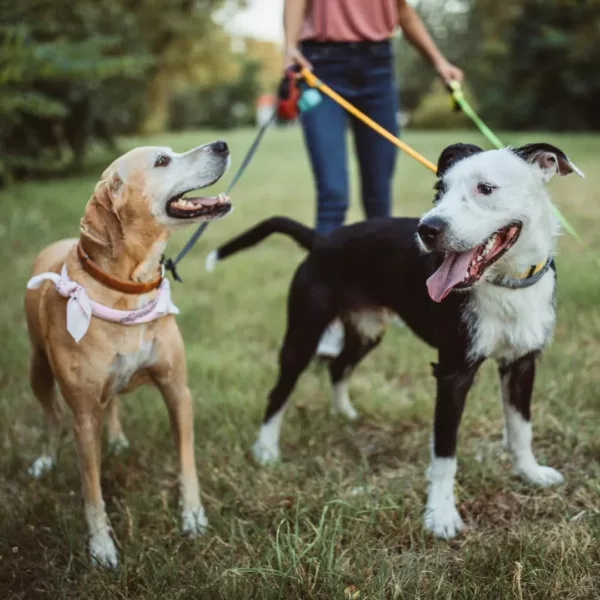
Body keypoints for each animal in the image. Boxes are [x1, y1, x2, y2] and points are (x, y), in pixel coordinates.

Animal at [23, 141, 231, 568]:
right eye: (162, 161)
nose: (222, 145)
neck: (128, 288)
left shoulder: (176, 390)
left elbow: (186, 462)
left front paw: (193, 516)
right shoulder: (83, 417)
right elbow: (91, 490)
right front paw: (101, 546)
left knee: (113, 401)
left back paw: (117, 438)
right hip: (37, 369)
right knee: (51, 419)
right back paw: (46, 460)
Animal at [206, 142, 580, 540]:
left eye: (486, 188)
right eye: (440, 190)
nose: (427, 229)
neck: (506, 284)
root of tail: (322, 240)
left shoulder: (522, 363)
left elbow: (521, 428)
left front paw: (530, 473)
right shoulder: (452, 372)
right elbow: (445, 452)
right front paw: (440, 514)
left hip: (367, 331)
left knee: (340, 366)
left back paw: (344, 413)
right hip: (304, 334)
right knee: (280, 392)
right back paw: (265, 449)